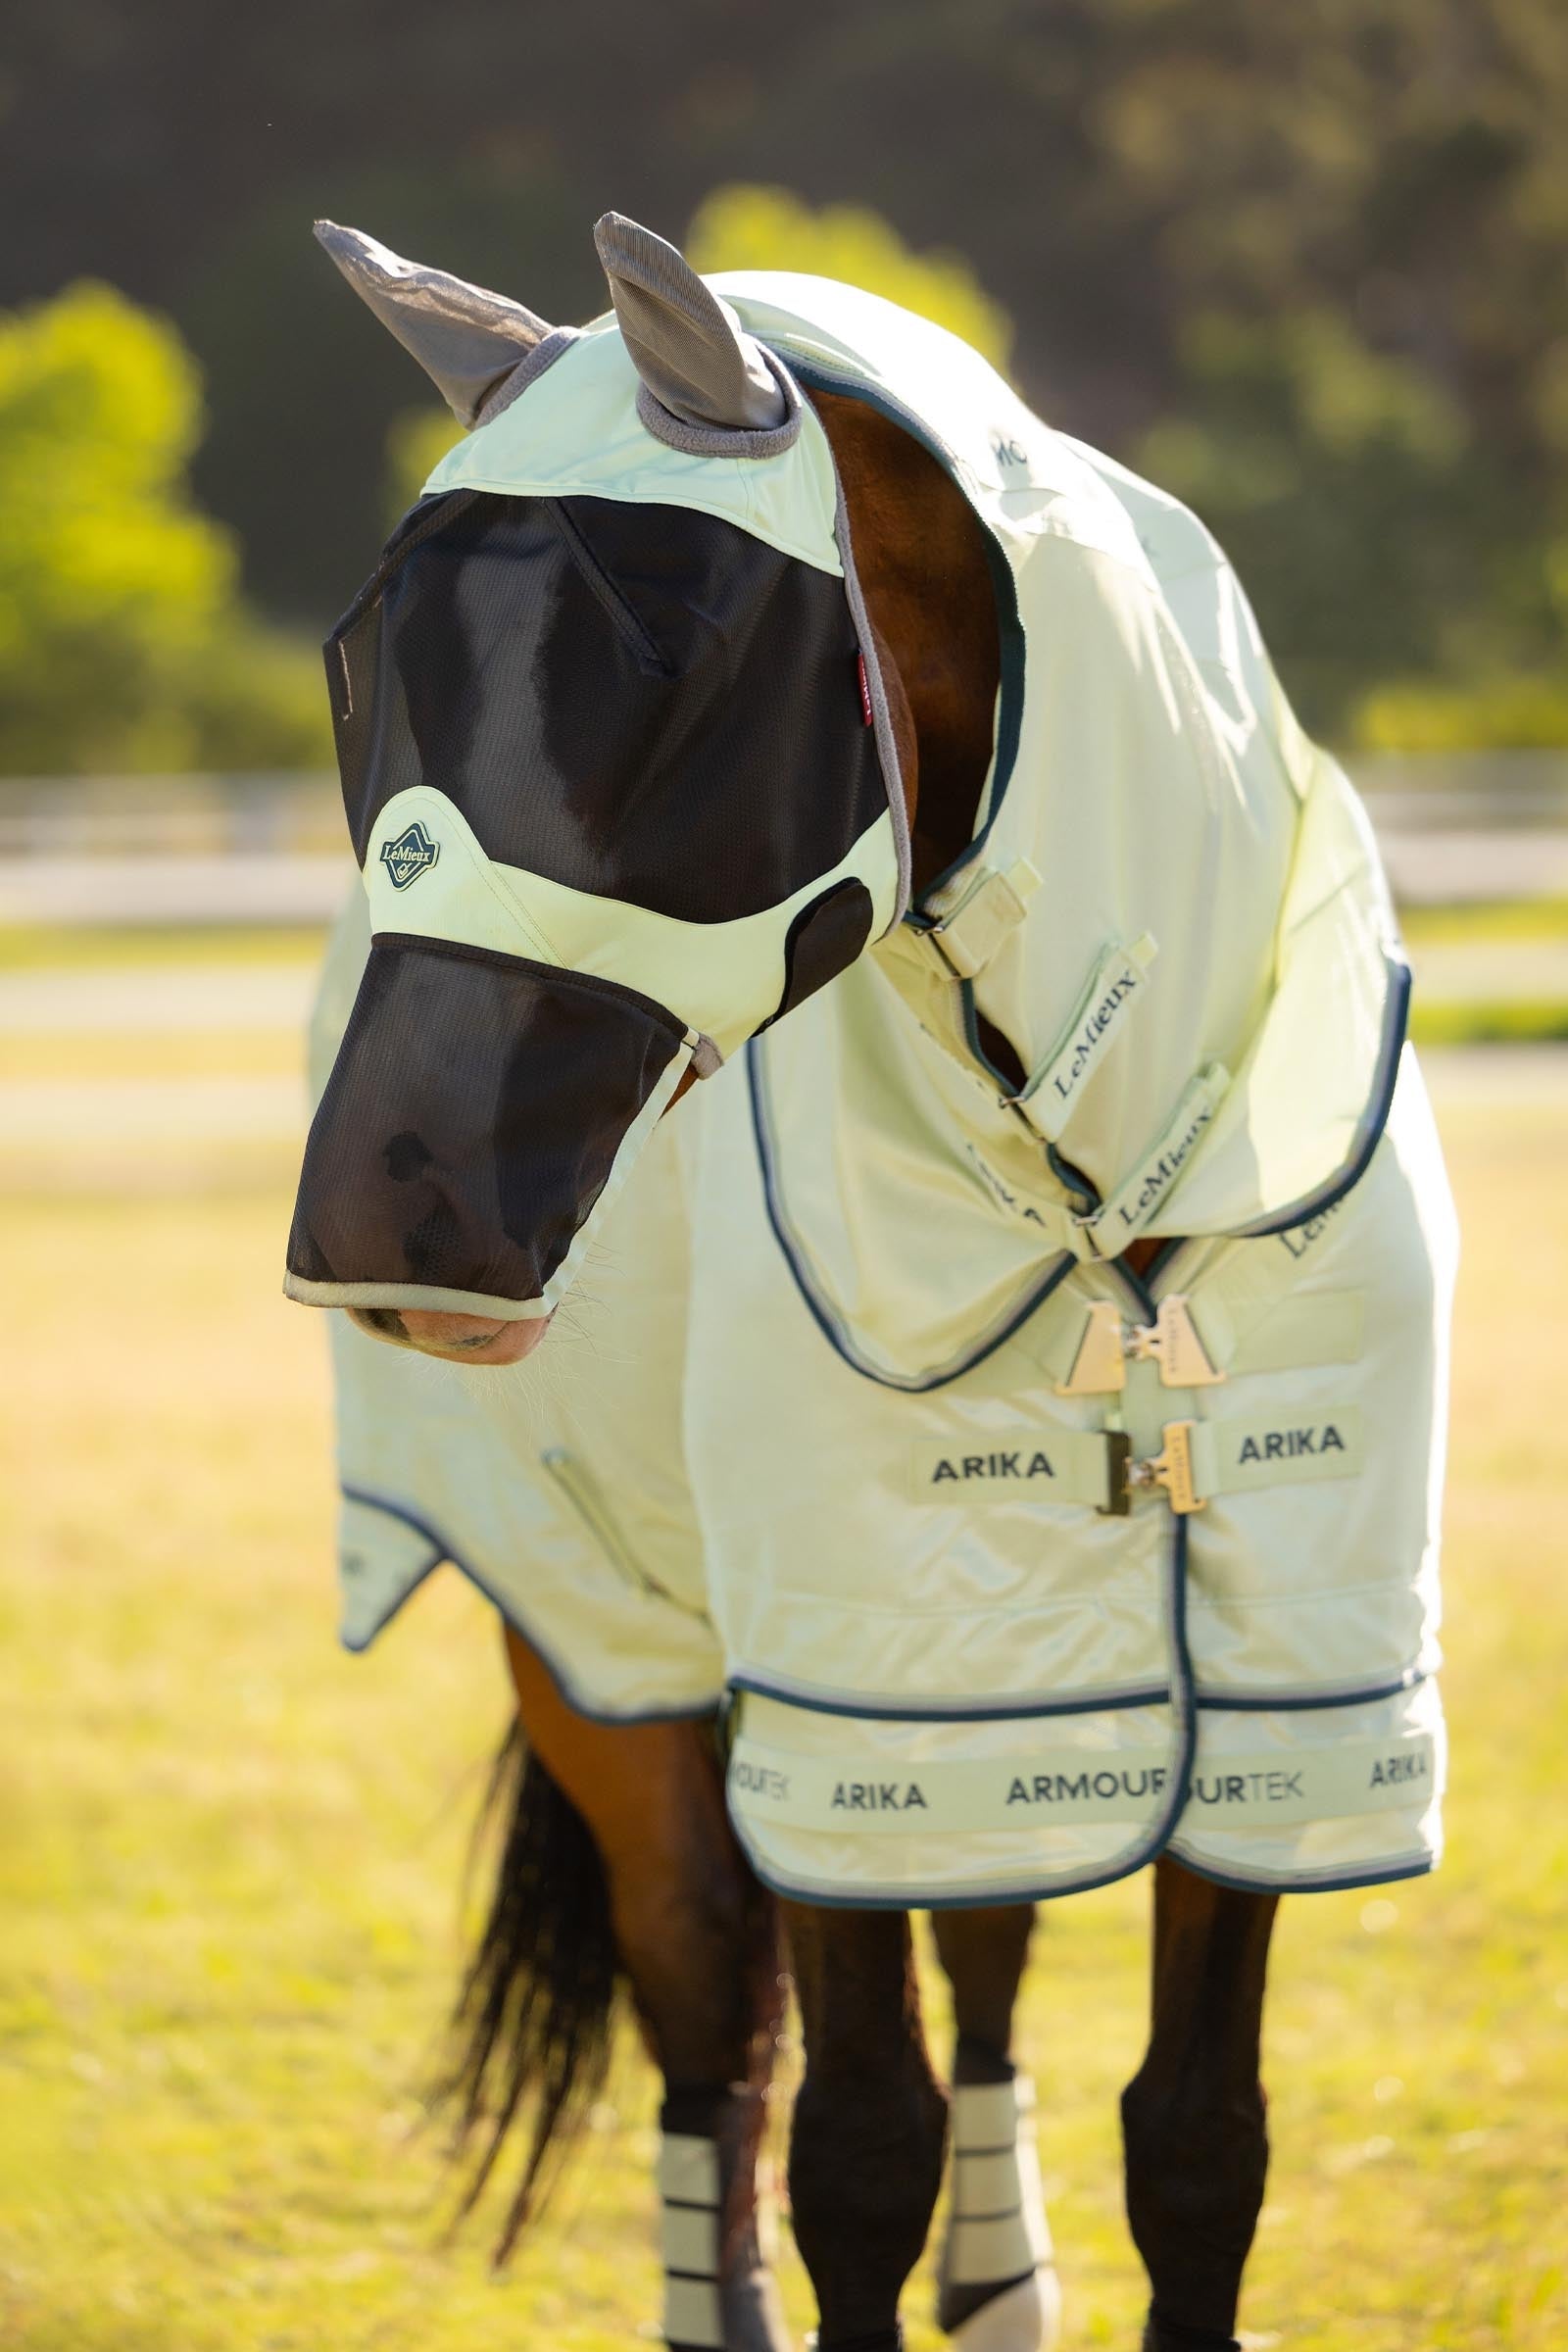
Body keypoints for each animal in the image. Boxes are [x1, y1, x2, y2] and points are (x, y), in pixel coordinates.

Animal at [285, 210, 1455, 2352]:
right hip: (607, 1646)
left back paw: (1002, 2282)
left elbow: (1197, 2141)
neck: (1105, 1195)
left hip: (1026, 1702)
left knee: (985, 1957)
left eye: (669, 658)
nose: (391, 1225)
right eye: (356, 663)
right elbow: (848, 2144)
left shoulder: (1270, 1694)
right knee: (707, 2028)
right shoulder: (850, 1702)